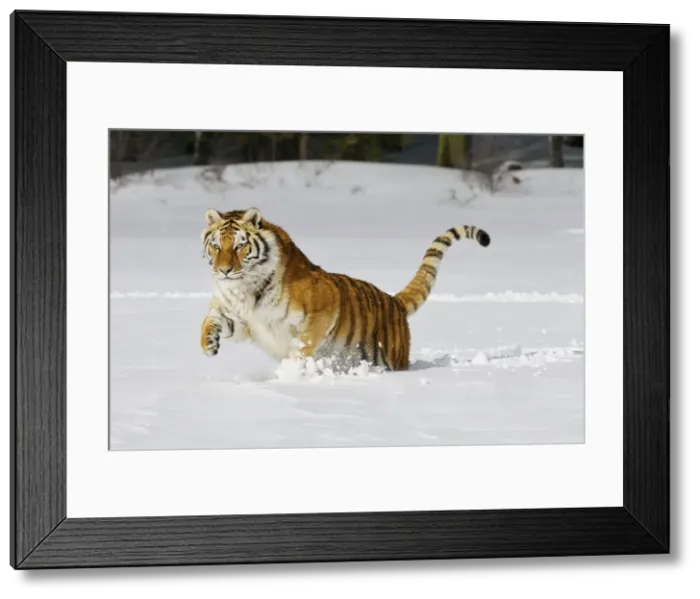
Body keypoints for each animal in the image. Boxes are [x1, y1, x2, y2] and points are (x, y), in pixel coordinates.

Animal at [200, 206, 490, 372]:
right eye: (216, 246)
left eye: (239, 246)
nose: (224, 270)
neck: (244, 287)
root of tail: (394, 301)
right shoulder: (236, 316)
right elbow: (210, 322)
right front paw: (208, 345)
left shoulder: (323, 307)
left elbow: (303, 344)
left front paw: (293, 370)